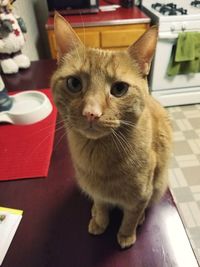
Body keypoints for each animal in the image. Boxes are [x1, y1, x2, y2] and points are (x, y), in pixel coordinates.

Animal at [51, 14, 172, 249]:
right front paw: (100, 220)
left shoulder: (141, 196)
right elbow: (101, 205)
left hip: (159, 184)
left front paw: (126, 235)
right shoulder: (96, 190)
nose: (91, 113)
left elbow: (131, 217)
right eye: (74, 83)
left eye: (119, 89)